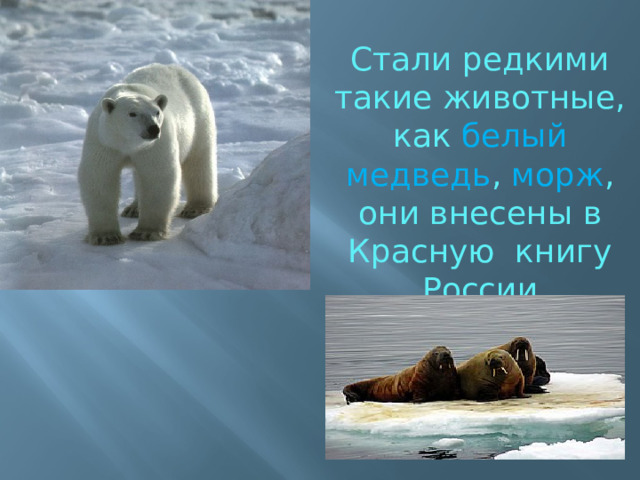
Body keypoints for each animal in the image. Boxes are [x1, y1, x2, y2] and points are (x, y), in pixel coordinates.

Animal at [78, 63, 217, 245]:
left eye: (156, 112)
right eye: (132, 113)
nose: (153, 129)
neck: (128, 144)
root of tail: (174, 67)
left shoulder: (154, 146)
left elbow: (156, 177)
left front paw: (145, 232)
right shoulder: (104, 142)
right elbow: (99, 178)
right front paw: (106, 236)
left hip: (199, 115)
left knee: (199, 160)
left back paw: (196, 208)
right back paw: (133, 208)